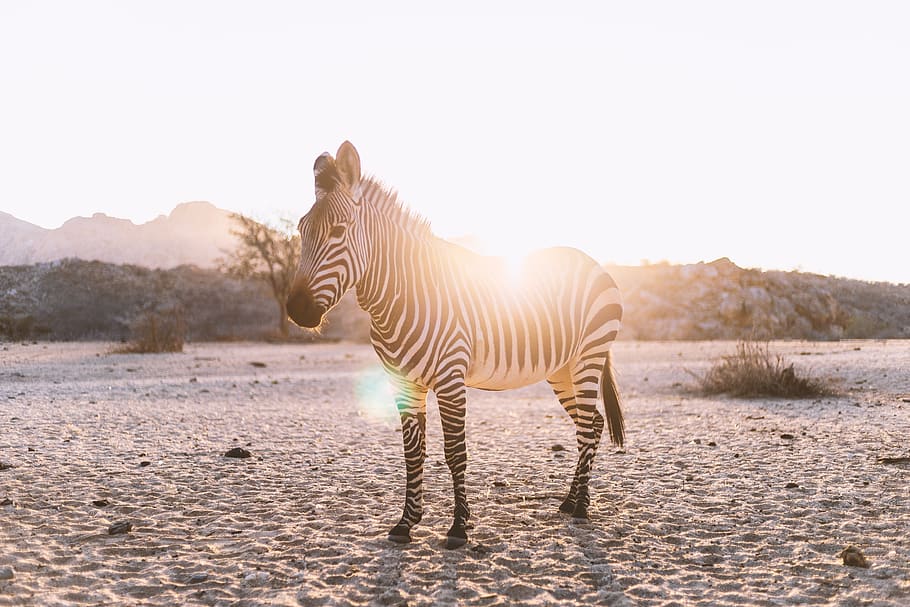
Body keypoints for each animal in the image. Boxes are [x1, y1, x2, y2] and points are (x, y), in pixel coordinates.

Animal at [287, 141, 623, 549]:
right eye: (302, 230)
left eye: (338, 231)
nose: (296, 309)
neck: (399, 299)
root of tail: (592, 261)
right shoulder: (402, 381)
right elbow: (412, 454)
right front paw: (406, 523)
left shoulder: (450, 378)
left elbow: (454, 453)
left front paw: (459, 526)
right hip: (562, 368)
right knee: (592, 424)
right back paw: (573, 500)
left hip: (590, 354)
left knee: (588, 427)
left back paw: (581, 507)